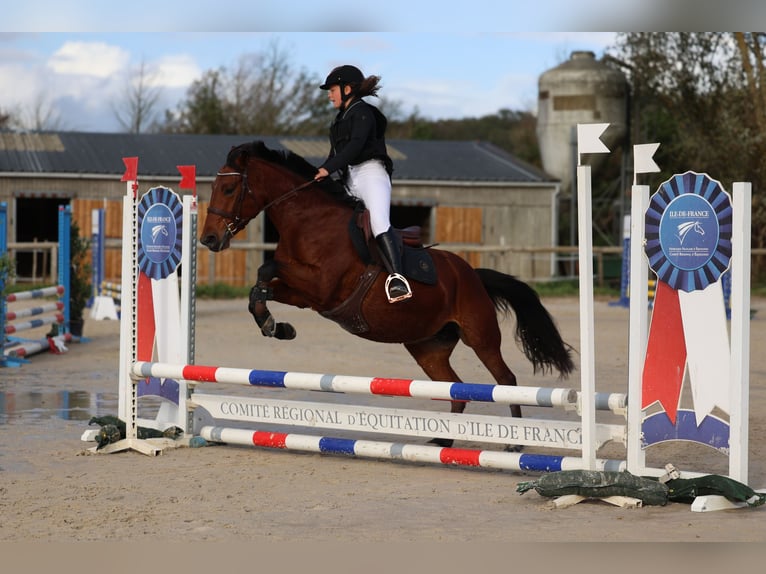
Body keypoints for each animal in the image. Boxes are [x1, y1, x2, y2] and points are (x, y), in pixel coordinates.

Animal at [201, 143, 572, 450]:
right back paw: (444, 441)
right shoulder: (305, 294)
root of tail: (472, 274)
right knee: (453, 386)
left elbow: (267, 267)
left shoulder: (321, 285)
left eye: (229, 188)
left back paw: (514, 443)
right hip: (427, 347)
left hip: (479, 335)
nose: (208, 239)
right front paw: (275, 326)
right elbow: (261, 285)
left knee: (505, 380)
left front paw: (274, 324)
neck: (310, 222)